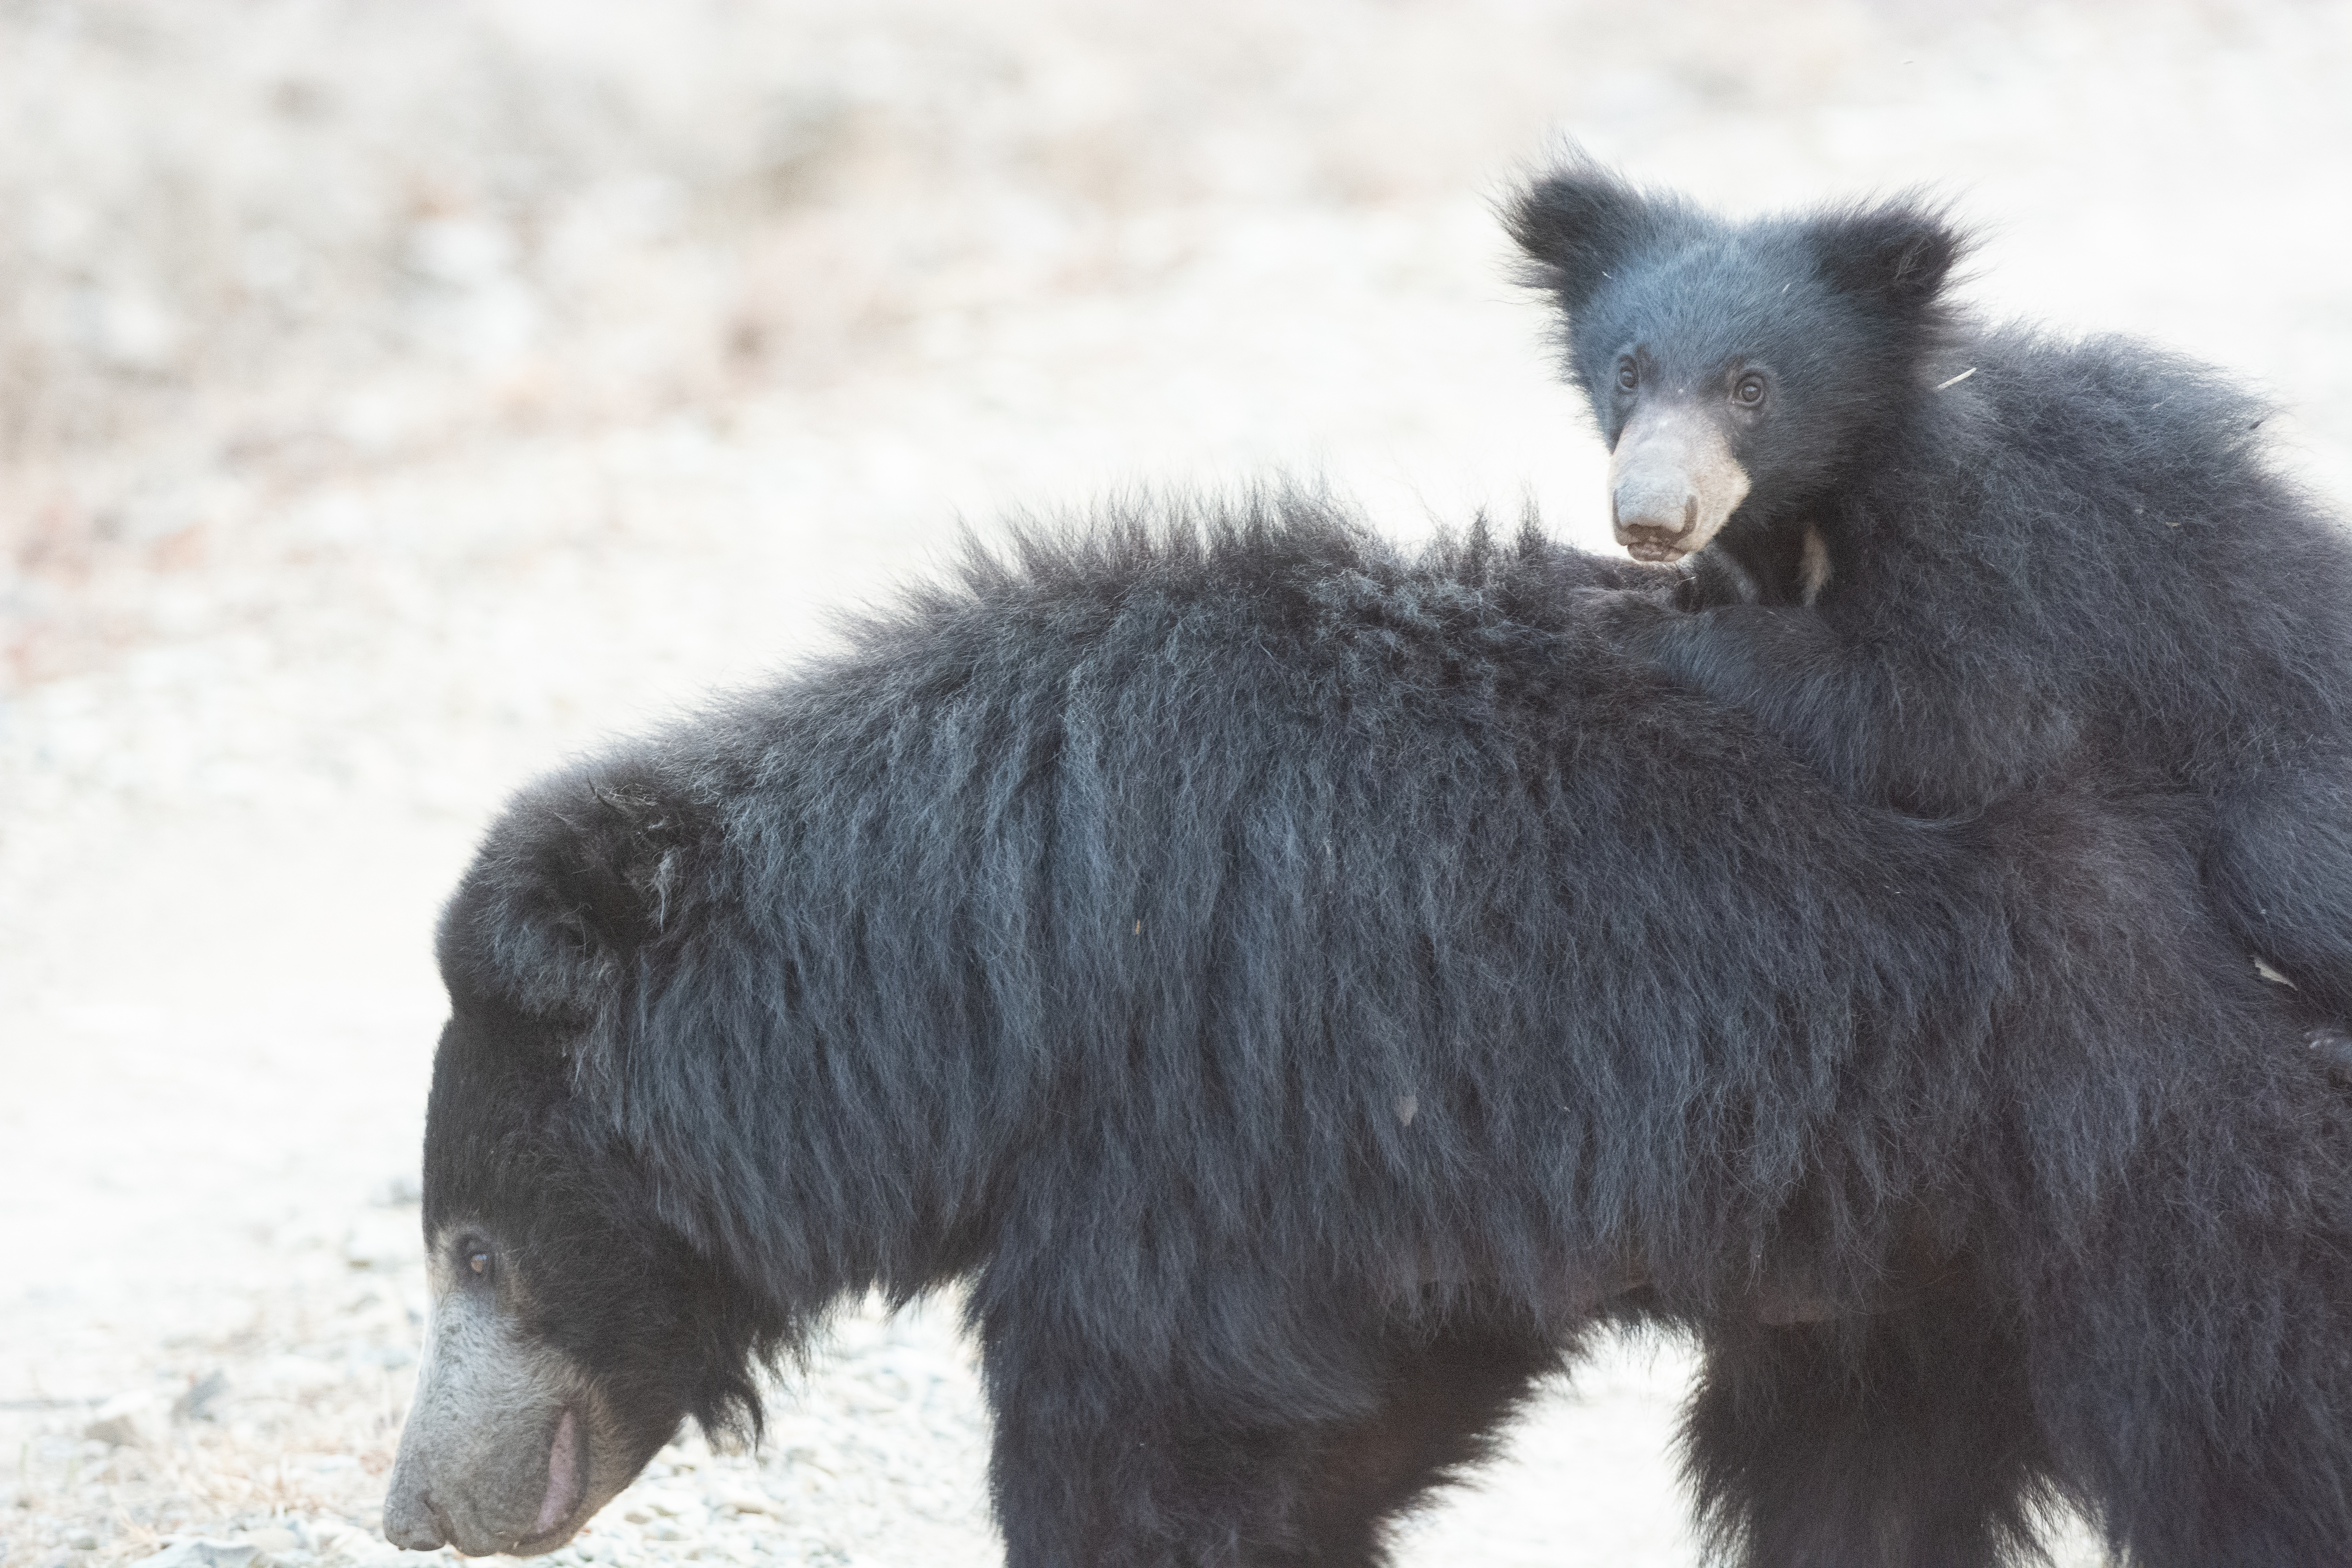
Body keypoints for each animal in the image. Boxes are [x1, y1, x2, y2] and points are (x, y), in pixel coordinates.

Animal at [379, 495, 2352, 1567]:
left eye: (475, 1252)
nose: (416, 1502)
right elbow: (1351, 1412)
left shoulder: (1200, 1112)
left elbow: (1148, 1438)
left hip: (2155, 1140)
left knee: (2248, 1437)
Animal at [1506, 154, 2352, 1056]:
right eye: (1629, 372)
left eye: (1752, 388)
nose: (1653, 520)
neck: (1821, 493)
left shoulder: (1985, 551)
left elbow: (1956, 724)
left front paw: (1618, 617)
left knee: (2277, 857)